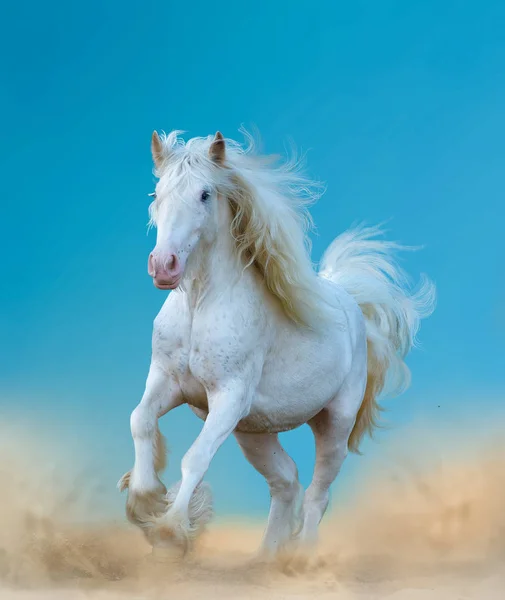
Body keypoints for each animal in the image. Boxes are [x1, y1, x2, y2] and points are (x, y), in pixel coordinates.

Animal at [117, 129, 434, 560]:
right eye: (156, 193)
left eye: (204, 194)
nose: (163, 266)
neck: (200, 306)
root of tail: (350, 303)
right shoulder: (167, 381)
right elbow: (141, 421)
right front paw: (145, 499)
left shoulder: (229, 396)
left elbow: (195, 457)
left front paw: (170, 530)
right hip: (254, 432)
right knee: (286, 482)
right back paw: (265, 559)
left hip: (334, 425)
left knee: (317, 493)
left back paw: (303, 558)